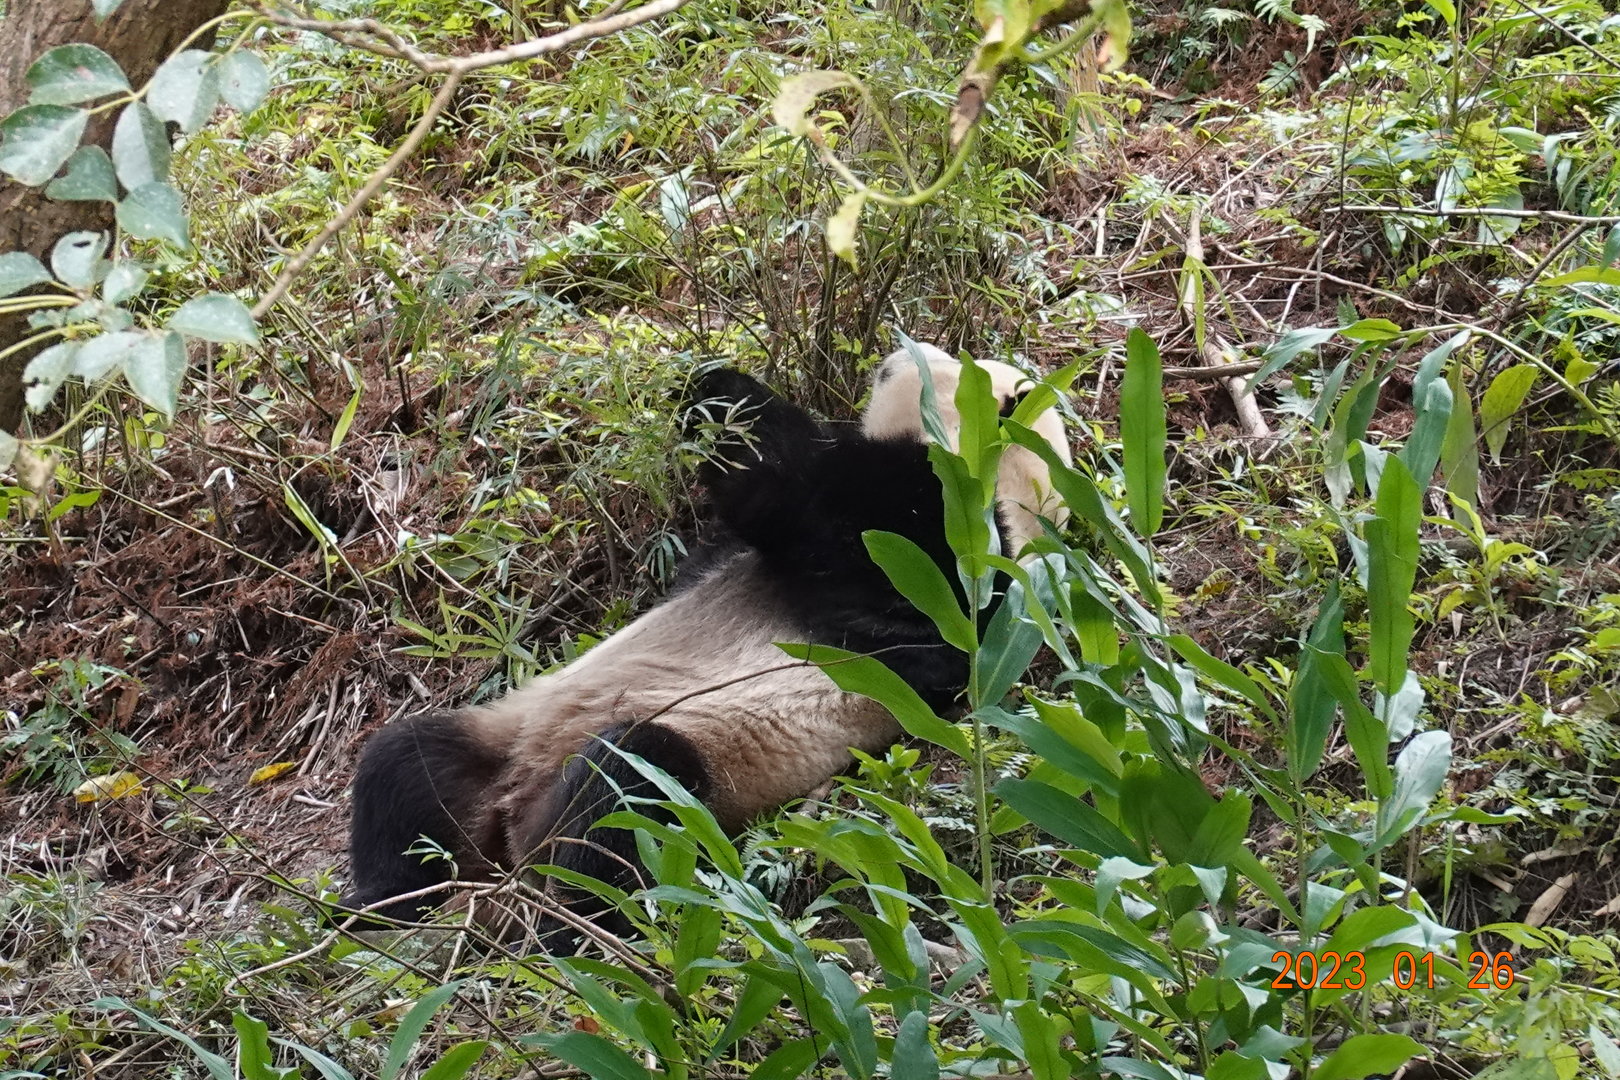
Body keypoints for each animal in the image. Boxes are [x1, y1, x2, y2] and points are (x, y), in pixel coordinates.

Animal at [343, 342, 1072, 942]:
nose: (895, 352)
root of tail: (514, 830)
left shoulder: (947, 552)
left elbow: (808, 500)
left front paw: (719, 393)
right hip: (498, 743)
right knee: (406, 767)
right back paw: (379, 907)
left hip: (698, 771)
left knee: (628, 790)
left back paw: (568, 923)